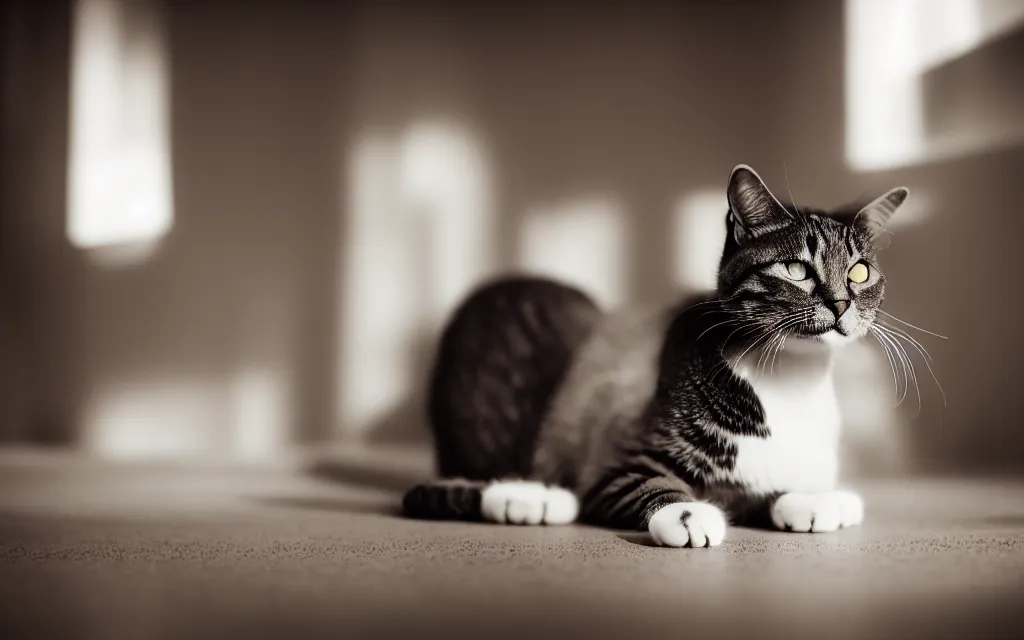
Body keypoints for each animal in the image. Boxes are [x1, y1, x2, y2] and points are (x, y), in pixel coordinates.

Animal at [403, 161, 909, 544]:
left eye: (860, 272)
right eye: (796, 269)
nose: (840, 303)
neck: (791, 380)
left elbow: (767, 490)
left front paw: (815, 500)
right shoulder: (615, 465)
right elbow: (648, 482)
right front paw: (688, 514)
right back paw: (531, 497)